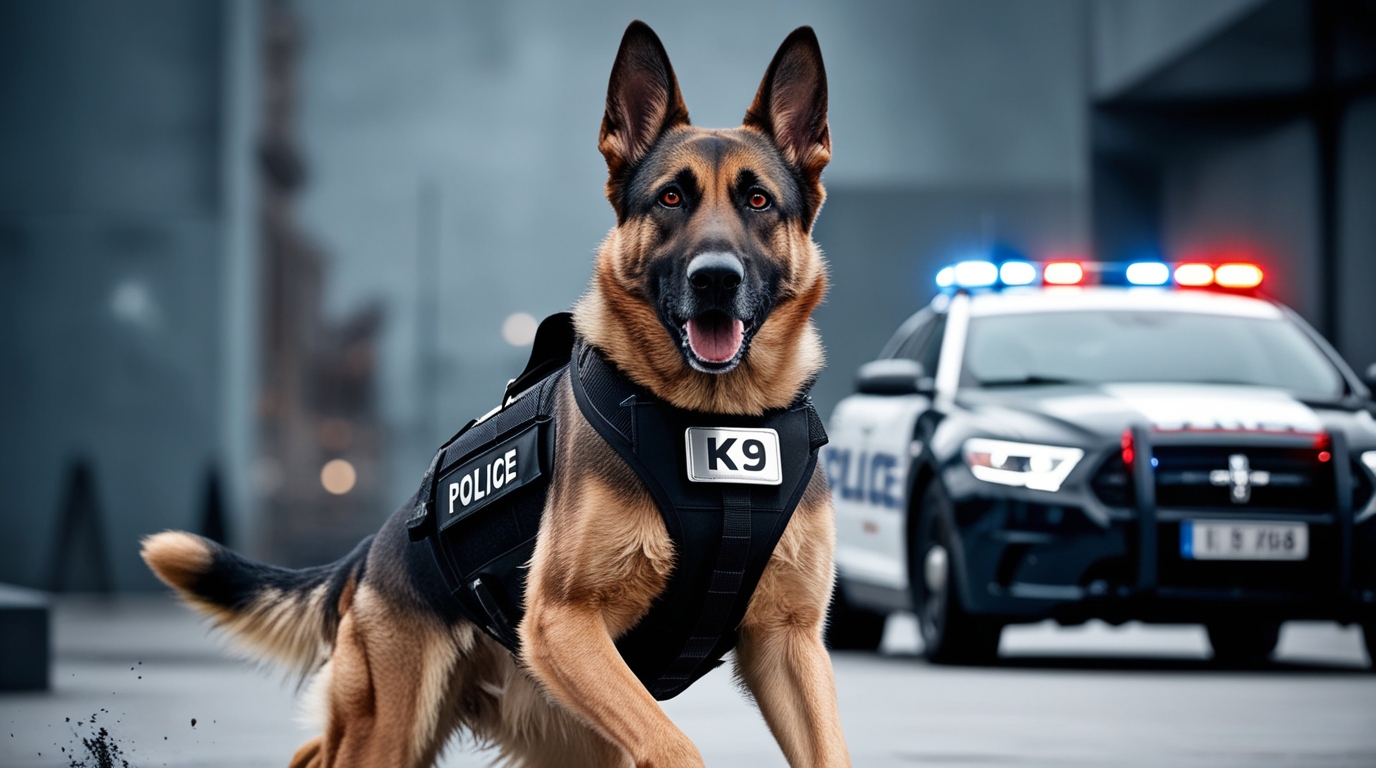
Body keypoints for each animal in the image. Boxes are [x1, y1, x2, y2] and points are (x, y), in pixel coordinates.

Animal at [142, 22, 847, 768]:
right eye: (671, 199)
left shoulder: (789, 643)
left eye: (758, 201)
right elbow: (676, 748)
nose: (715, 278)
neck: (711, 412)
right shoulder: (562, 624)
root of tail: (369, 552)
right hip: (390, 731)